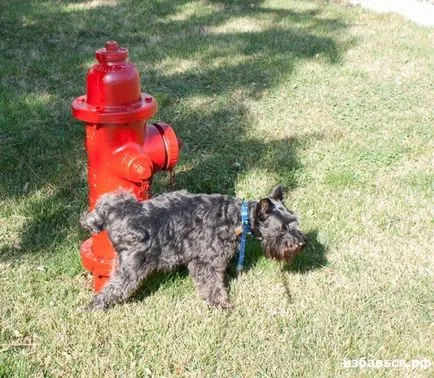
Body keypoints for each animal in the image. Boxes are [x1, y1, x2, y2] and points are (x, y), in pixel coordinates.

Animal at [80, 186, 306, 310]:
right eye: (283, 228)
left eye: (295, 222)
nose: (301, 242)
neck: (236, 218)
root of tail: (118, 213)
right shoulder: (207, 262)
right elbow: (213, 285)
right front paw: (221, 304)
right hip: (131, 268)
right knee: (110, 290)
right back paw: (93, 309)